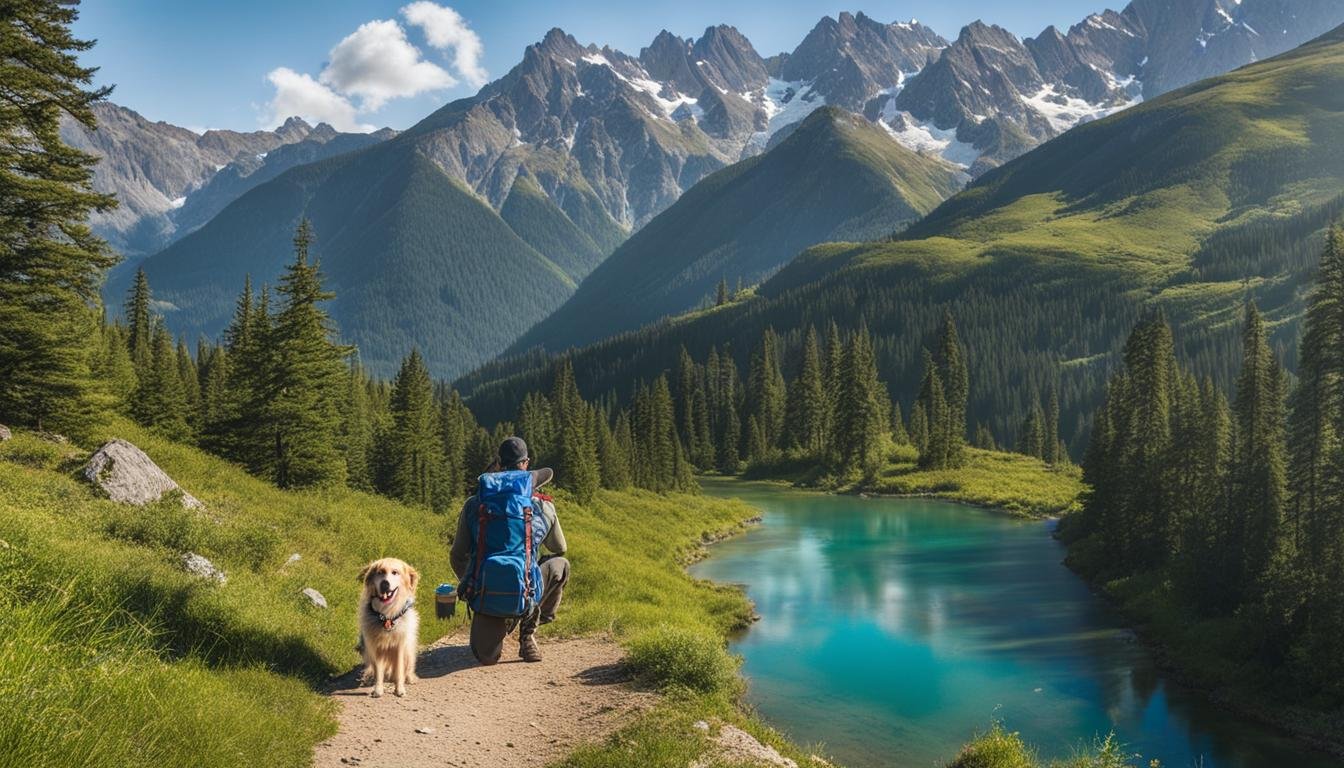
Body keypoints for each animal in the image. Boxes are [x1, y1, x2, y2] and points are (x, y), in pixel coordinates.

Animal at [357, 556, 419, 699]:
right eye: (380, 572)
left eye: (395, 572)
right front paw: (378, 690)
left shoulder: (400, 646)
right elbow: (378, 671)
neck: (387, 616)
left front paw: (399, 689)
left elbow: (400, 669)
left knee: (407, 667)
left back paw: (409, 678)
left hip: (408, 650)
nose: (385, 584)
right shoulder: (376, 646)